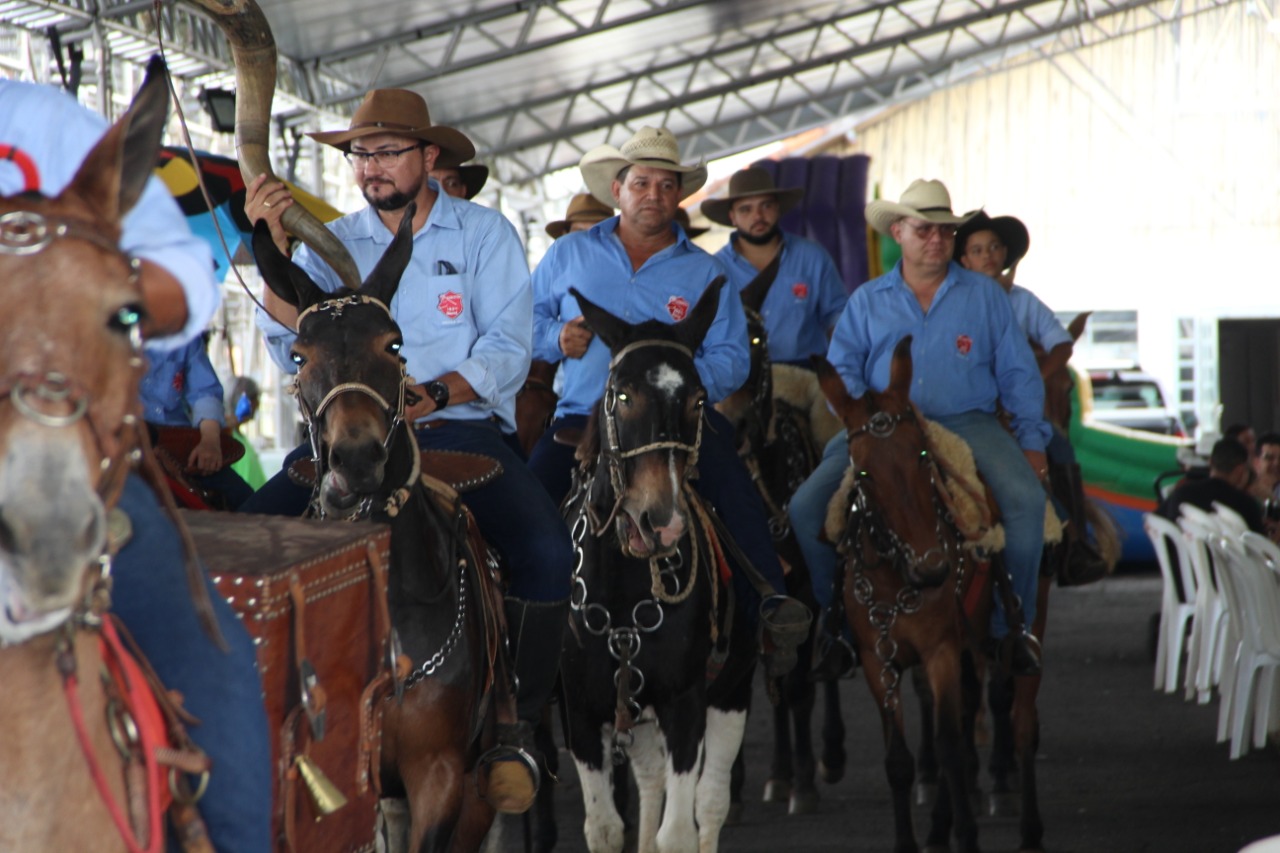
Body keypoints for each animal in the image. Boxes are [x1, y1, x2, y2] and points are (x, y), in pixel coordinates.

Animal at [560, 280, 757, 850]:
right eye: (621, 396)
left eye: (697, 399)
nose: (660, 523)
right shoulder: (581, 715)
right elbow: (604, 827)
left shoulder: (685, 706)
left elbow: (678, 833)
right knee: (650, 784)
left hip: (731, 692)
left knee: (710, 805)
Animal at [814, 338, 993, 850]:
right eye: (864, 474)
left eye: (921, 455)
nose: (932, 567)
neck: (899, 579)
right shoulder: (879, 659)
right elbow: (897, 759)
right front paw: (908, 841)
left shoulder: (942, 650)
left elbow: (951, 744)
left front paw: (964, 834)